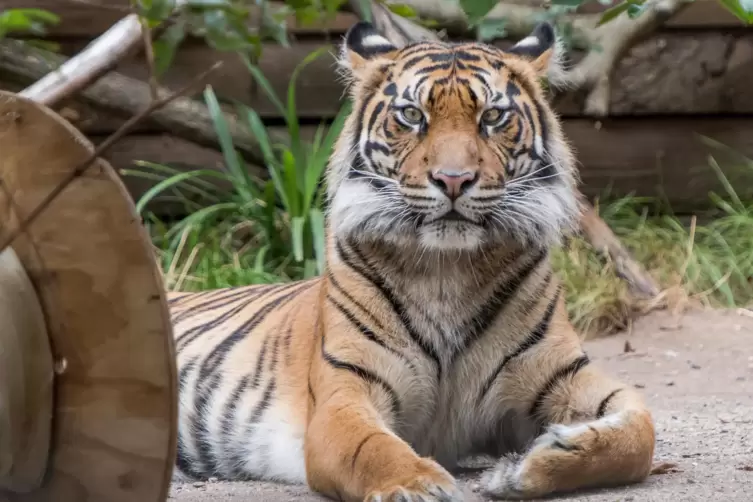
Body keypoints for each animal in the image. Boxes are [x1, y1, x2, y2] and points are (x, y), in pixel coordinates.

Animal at [169, 20, 652, 502]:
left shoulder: (563, 373)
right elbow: (370, 446)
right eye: (413, 115)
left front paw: (530, 464)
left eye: (492, 117)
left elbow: (641, 431)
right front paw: (419, 485)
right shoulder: (343, 393)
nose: (453, 179)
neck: (447, 271)